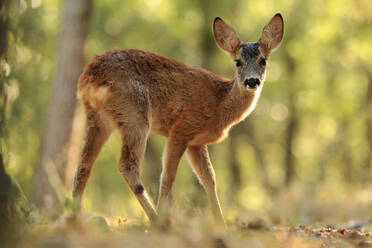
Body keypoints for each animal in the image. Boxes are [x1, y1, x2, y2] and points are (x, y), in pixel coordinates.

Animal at [72, 13, 284, 223]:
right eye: (238, 61)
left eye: (263, 60)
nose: (252, 81)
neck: (220, 103)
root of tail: (91, 74)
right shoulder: (183, 127)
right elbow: (168, 176)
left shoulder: (196, 142)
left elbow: (209, 179)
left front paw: (221, 223)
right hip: (135, 114)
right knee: (127, 165)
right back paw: (156, 220)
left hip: (98, 119)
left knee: (83, 165)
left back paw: (73, 217)